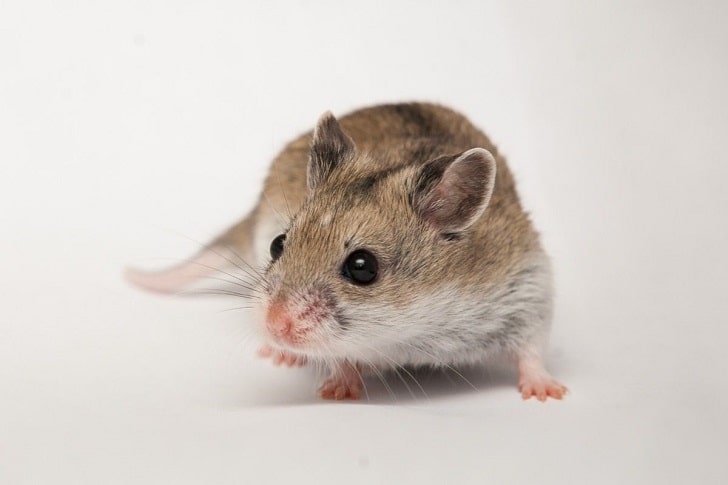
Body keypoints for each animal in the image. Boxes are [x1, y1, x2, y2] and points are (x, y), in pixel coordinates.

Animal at [127, 103, 567, 401]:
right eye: (278, 245)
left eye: (362, 267)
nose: (272, 325)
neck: (417, 326)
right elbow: (341, 357)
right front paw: (337, 391)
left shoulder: (528, 289)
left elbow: (532, 351)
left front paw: (549, 393)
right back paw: (282, 356)